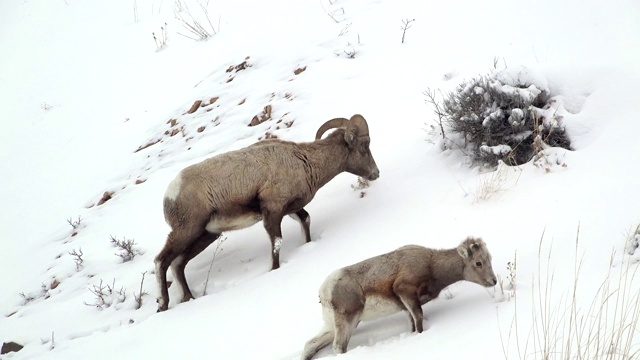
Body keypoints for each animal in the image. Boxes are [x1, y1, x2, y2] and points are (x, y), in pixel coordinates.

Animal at [156, 114, 380, 310]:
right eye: (364, 146)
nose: (375, 174)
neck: (305, 161)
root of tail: (170, 194)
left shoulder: (290, 209)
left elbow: (306, 220)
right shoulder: (272, 211)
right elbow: (277, 242)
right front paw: (273, 270)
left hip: (206, 235)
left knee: (178, 264)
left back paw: (188, 298)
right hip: (187, 231)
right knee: (162, 261)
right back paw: (163, 305)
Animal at [300, 238, 496, 358]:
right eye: (478, 263)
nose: (493, 281)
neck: (432, 267)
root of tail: (325, 290)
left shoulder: (407, 306)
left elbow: (413, 324)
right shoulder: (405, 291)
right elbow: (419, 320)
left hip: (333, 325)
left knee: (311, 344)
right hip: (348, 321)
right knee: (339, 347)